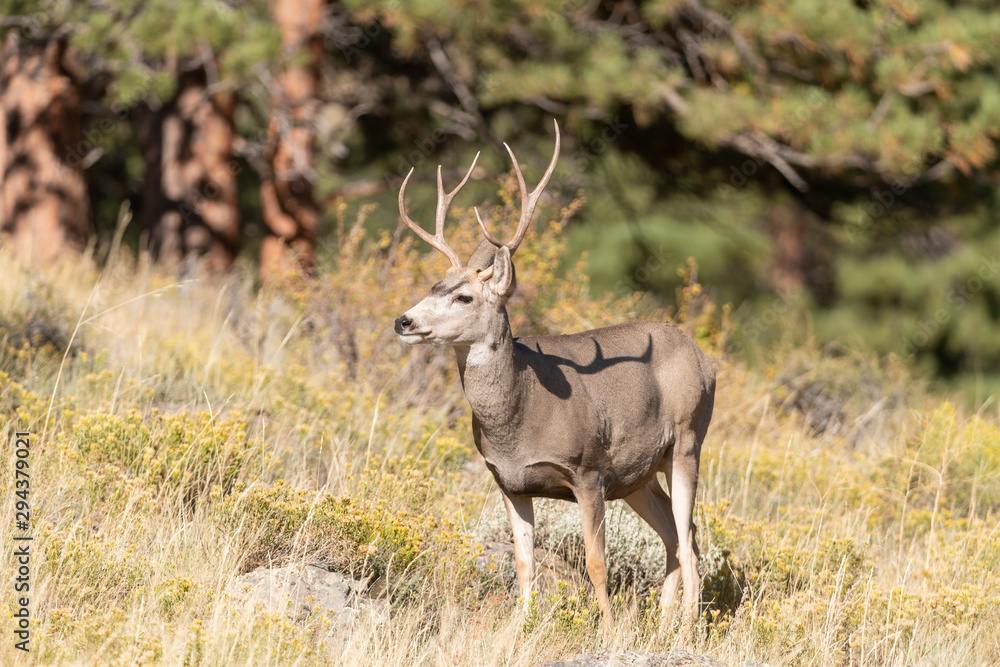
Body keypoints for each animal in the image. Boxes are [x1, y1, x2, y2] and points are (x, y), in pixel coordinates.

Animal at [393, 120, 716, 622]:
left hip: (686, 439)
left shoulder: (587, 469)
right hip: (638, 474)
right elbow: (524, 563)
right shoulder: (508, 481)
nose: (403, 321)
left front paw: (608, 629)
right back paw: (662, 627)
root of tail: (705, 358)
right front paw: (518, 627)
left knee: (689, 540)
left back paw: (685, 628)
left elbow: (597, 562)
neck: (522, 413)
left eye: (464, 297)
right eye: (433, 285)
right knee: (676, 537)